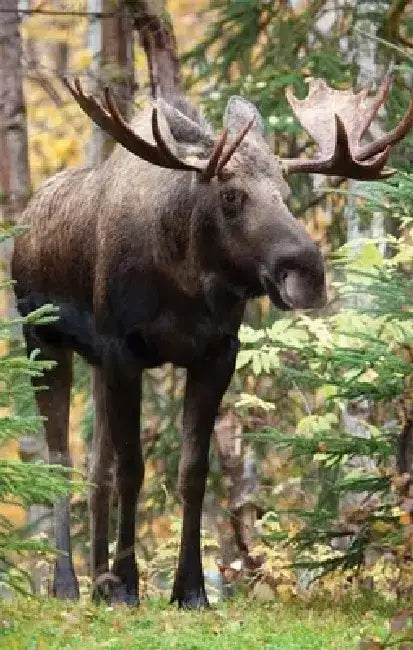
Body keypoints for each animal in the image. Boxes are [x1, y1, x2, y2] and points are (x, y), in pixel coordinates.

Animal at [12, 75, 413, 608]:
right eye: (230, 196)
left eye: (285, 192)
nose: (307, 272)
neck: (185, 277)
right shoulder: (123, 351)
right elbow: (132, 469)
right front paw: (128, 586)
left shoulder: (216, 354)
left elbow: (193, 471)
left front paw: (190, 590)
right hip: (42, 339)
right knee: (59, 458)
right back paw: (68, 584)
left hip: (93, 363)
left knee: (95, 471)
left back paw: (98, 582)